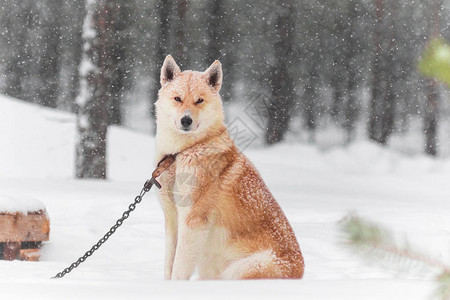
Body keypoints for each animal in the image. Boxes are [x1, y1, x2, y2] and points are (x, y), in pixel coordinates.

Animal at [156, 55, 306, 280]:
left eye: (199, 100)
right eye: (177, 98)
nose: (186, 120)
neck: (181, 152)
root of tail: (300, 273)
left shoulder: (192, 220)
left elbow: (179, 269)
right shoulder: (172, 218)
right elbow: (168, 265)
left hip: (237, 270)